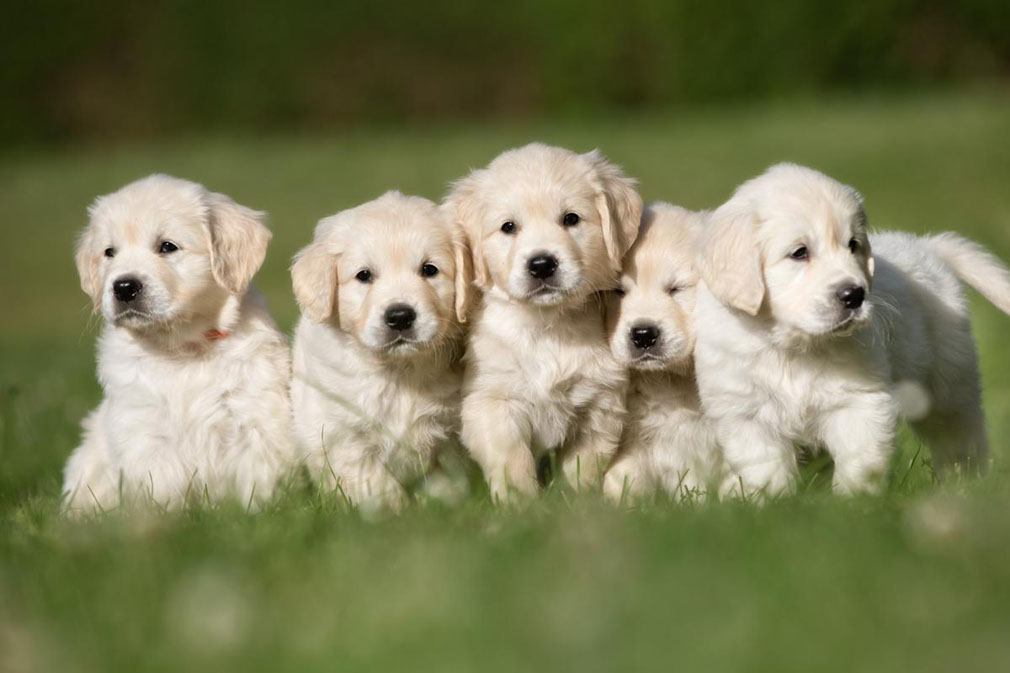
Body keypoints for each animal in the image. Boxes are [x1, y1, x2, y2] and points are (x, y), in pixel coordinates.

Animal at [62, 171, 292, 509]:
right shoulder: (144, 428)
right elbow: (160, 488)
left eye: (167, 246)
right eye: (109, 253)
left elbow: (257, 481)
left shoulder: (254, 417)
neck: (182, 348)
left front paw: (258, 511)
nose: (124, 287)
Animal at [288, 188, 468, 503]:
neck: (398, 371)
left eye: (429, 269)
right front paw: (389, 509)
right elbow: (375, 484)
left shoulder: (451, 434)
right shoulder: (345, 433)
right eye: (364, 275)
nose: (400, 317)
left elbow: (447, 484)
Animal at [448, 142, 642, 497]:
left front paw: (575, 499)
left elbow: (583, 464)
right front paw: (521, 501)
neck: (547, 325)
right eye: (509, 227)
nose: (541, 264)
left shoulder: (600, 402)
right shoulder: (492, 399)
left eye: (571, 219)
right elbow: (511, 457)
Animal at [694, 162, 1010, 495]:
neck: (795, 348)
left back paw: (966, 484)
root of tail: (926, 246)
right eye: (799, 252)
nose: (854, 295)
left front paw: (855, 501)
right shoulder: (747, 413)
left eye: (853, 245)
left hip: (947, 386)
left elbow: (860, 460)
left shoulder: (859, 401)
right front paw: (771, 500)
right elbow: (765, 469)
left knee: (960, 437)